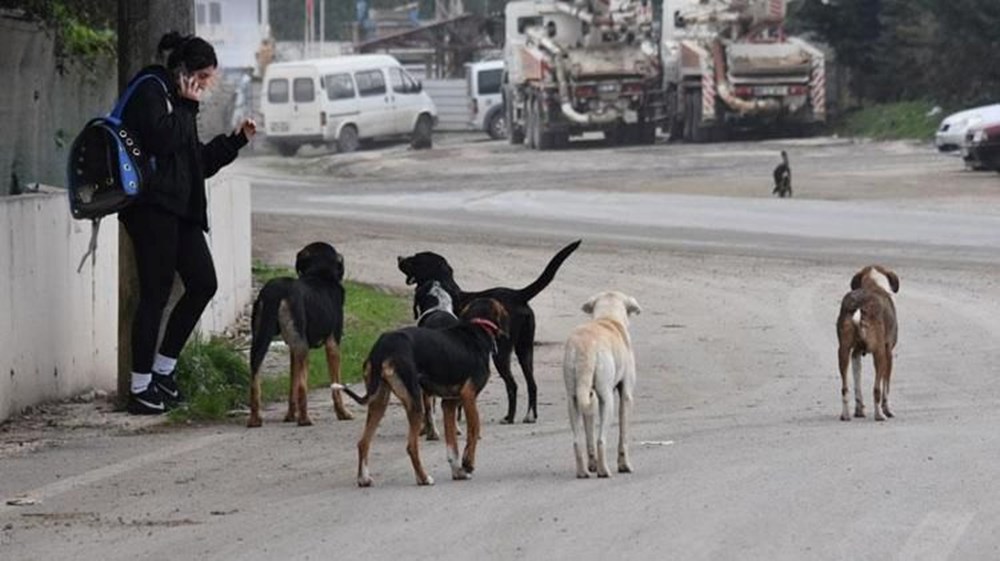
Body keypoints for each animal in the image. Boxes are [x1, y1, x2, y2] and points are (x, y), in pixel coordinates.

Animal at [247, 242, 354, 428]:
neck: (320, 274)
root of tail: (276, 291)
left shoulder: (292, 350)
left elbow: (293, 385)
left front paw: (290, 416)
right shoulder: (333, 344)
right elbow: (336, 386)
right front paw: (342, 413)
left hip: (260, 340)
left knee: (255, 378)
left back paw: (255, 419)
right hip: (303, 348)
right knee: (303, 387)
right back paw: (304, 419)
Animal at [336, 298, 508, 486]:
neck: (477, 328)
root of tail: (382, 346)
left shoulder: (449, 403)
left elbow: (452, 445)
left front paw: (458, 472)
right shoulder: (468, 396)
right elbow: (474, 431)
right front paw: (468, 463)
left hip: (379, 401)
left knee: (363, 442)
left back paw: (364, 479)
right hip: (415, 402)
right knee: (411, 446)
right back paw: (423, 478)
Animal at [564, 288, 640, 476]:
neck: (608, 318)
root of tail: (585, 347)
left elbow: (589, 432)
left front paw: (592, 464)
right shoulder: (626, 396)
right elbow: (623, 435)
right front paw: (624, 465)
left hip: (573, 398)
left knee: (578, 440)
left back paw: (583, 472)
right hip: (607, 400)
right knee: (601, 439)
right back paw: (604, 470)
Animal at [836, 266, 900, 420]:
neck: (874, 284)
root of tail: (860, 304)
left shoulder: (855, 354)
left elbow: (857, 382)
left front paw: (859, 409)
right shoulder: (888, 353)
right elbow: (886, 386)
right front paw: (887, 410)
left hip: (843, 351)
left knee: (844, 388)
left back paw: (845, 414)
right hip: (879, 354)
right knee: (877, 388)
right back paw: (879, 414)